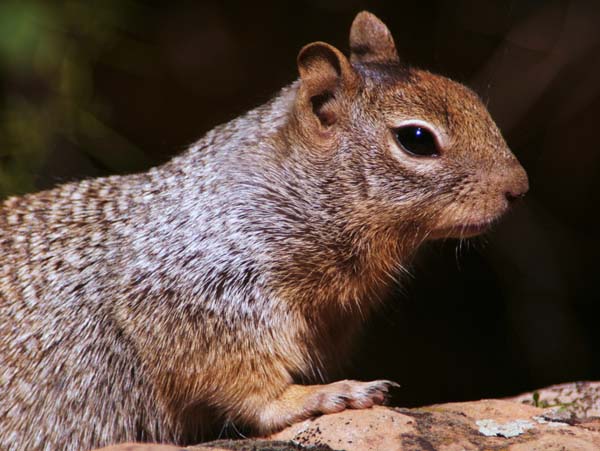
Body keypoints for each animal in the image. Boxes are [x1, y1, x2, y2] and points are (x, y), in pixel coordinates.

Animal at [0, 10, 528, 451]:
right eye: (416, 139)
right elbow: (252, 390)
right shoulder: (202, 297)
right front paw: (328, 395)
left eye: (469, 96)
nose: (519, 188)